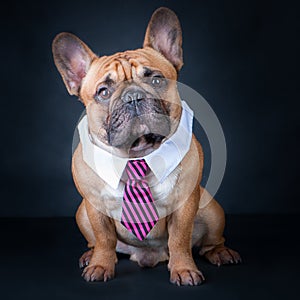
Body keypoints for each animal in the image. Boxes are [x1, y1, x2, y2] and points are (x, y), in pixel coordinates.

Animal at [51, 5, 239, 284]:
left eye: (156, 80)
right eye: (103, 92)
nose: (133, 97)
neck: (136, 155)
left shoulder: (185, 205)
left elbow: (179, 239)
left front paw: (184, 269)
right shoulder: (94, 207)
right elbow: (104, 238)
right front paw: (100, 265)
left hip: (212, 210)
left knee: (210, 241)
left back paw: (220, 252)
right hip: (81, 213)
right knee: (96, 242)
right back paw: (89, 256)